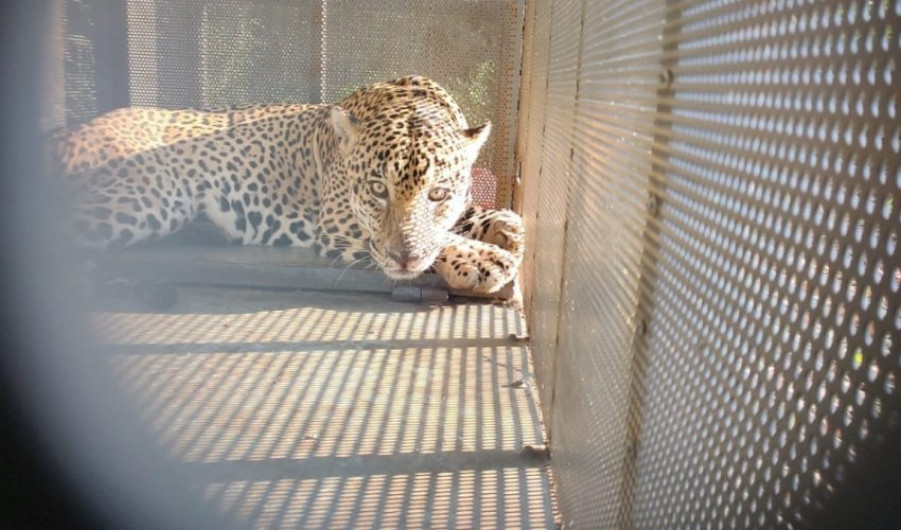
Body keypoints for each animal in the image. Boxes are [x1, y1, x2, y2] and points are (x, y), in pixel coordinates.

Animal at [50, 75, 524, 294]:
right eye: (377, 189)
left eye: (438, 193)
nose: (403, 260)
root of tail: (69, 132)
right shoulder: (336, 225)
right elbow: (434, 240)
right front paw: (483, 259)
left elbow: (467, 216)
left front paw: (504, 227)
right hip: (147, 195)